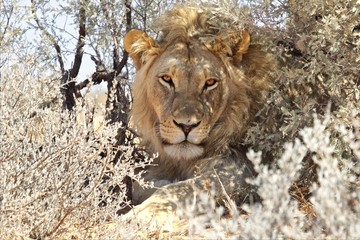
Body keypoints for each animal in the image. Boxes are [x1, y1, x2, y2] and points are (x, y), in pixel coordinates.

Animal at [122, 5, 274, 230]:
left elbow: (182, 188)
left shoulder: (242, 167)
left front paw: (143, 213)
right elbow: (137, 183)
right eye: (167, 79)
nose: (187, 126)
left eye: (210, 82)